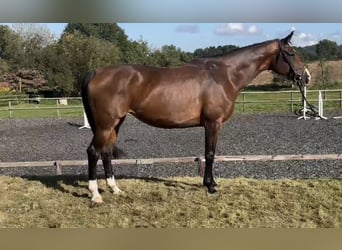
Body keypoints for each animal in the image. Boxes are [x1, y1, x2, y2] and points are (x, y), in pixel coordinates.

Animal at [82, 31, 310, 203]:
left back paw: (115, 189)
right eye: (290, 52)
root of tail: (96, 72)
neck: (224, 75)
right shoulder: (212, 123)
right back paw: (95, 195)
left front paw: (212, 183)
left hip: (115, 123)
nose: (306, 77)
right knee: (93, 152)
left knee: (106, 153)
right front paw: (210, 186)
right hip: (105, 124)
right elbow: (210, 154)